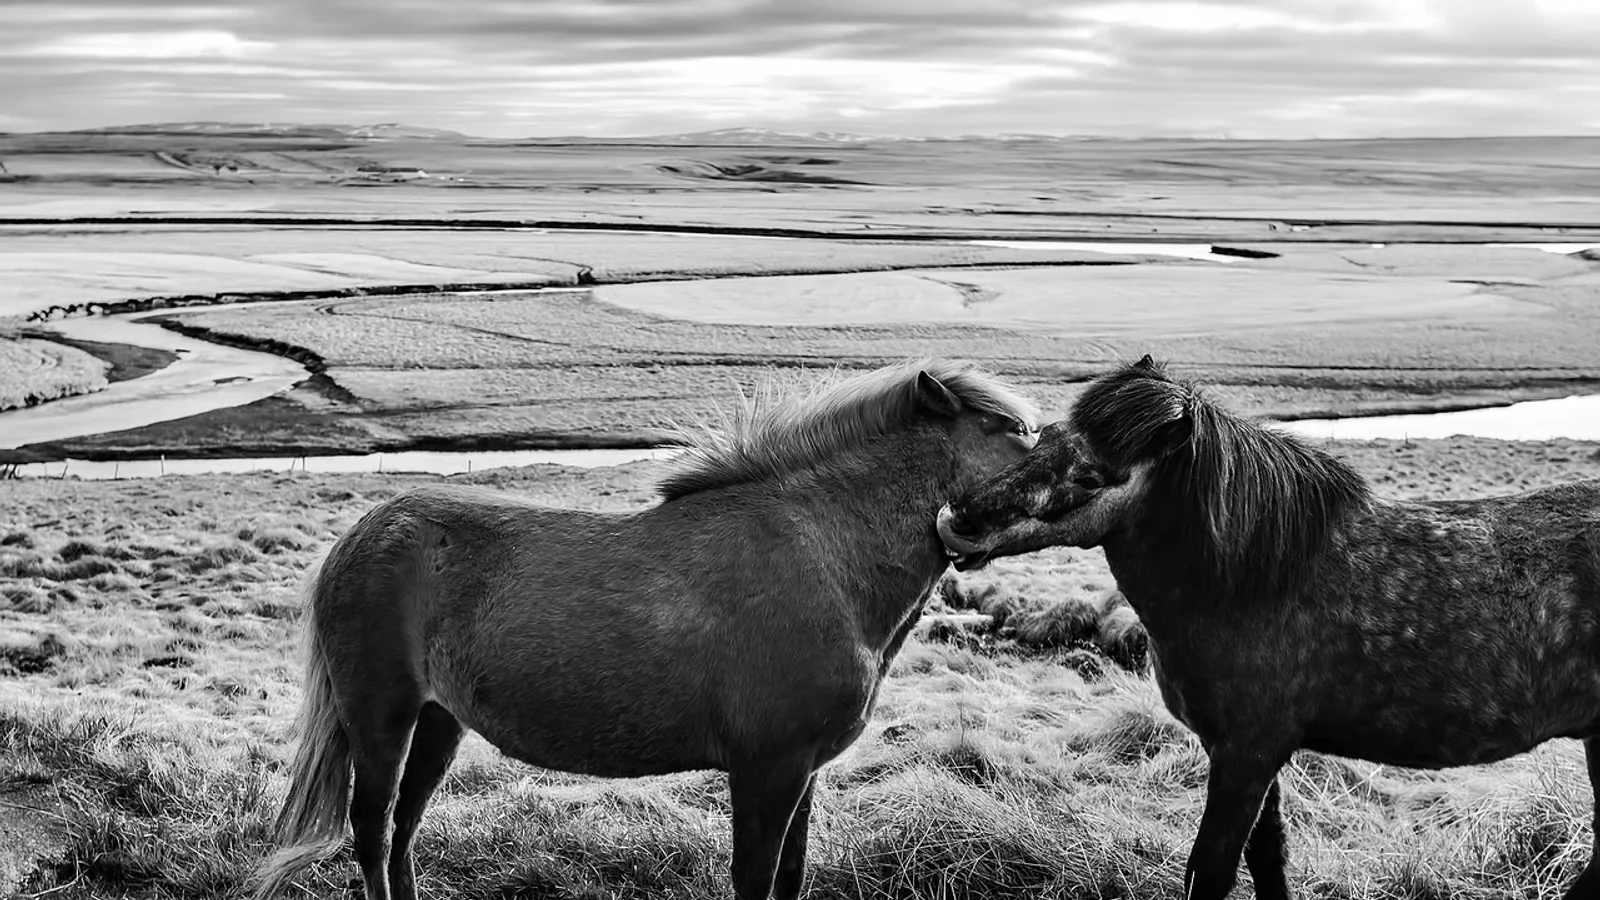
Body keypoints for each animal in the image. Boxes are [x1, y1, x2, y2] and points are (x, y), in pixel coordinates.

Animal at [254, 358, 1040, 900]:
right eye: (1014, 432)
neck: (823, 555)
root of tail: (361, 536)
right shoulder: (768, 770)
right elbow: (755, 879)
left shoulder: (803, 772)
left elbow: (789, 877)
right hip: (381, 719)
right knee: (373, 829)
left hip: (439, 720)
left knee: (403, 831)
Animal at [935, 355, 1600, 900]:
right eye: (1043, 435)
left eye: (1091, 477)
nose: (957, 521)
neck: (1255, 580)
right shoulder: (1248, 755)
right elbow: (1269, 859)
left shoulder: (1247, 755)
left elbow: (1212, 870)